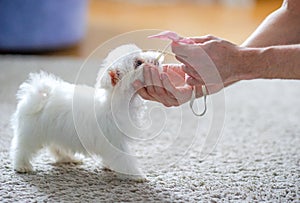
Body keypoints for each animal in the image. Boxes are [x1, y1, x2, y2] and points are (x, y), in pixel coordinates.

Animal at [10, 43, 163, 178]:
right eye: (138, 63)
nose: (158, 58)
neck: (117, 101)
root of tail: (37, 95)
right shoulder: (115, 142)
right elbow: (124, 159)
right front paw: (136, 175)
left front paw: (109, 166)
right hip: (32, 132)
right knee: (22, 148)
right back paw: (22, 166)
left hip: (55, 130)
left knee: (55, 147)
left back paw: (68, 158)